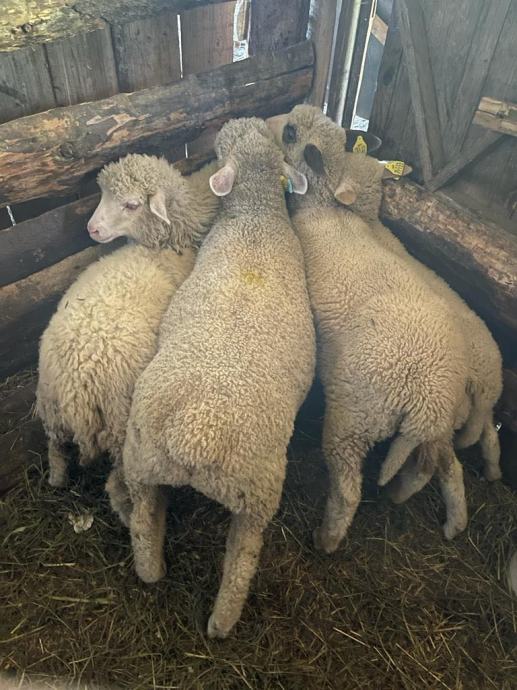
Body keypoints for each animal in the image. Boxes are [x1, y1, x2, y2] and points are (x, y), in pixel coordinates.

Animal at [36, 154, 220, 526]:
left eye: (132, 204)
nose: (91, 229)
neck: (166, 242)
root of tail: (74, 386)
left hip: (50, 410)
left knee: (56, 451)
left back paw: (57, 481)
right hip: (121, 428)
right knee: (120, 489)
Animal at [122, 117, 316, 639]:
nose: (230, 123)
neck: (256, 215)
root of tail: (196, 434)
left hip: (157, 466)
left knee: (156, 530)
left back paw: (172, 588)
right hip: (232, 490)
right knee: (230, 558)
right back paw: (208, 614)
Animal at [267, 104, 469, 549]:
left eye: (290, 132)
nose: (265, 122)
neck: (325, 207)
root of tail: (424, 399)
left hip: (354, 418)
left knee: (348, 490)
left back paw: (326, 538)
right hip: (438, 424)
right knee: (448, 467)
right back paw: (444, 518)